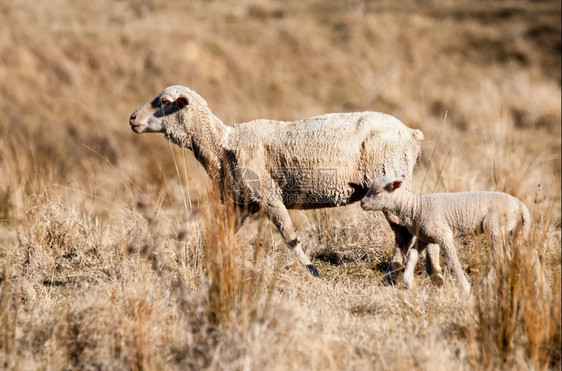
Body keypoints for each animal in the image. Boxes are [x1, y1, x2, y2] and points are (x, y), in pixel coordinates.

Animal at [128, 86, 428, 280]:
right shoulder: (243, 202)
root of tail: (412, 133)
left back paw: (390, 275)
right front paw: (211, 263)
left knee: (403, 234)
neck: (222, 143)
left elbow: (289, 236)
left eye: (164, 101)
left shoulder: (269, 196)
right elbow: (226, 233)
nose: (132, 118)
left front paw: (312, 272)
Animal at [358, 175, 528, 294]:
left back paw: (484, 284)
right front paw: (409, 282)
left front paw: (464, 287)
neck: (416, 207)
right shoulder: (425, 236)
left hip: (496, 228)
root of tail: (522, 206)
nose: (362, 203)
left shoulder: (443, 234)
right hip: (514, 231)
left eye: (377, 192)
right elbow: (412, 254)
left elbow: (452, 261)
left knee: (500, 258)